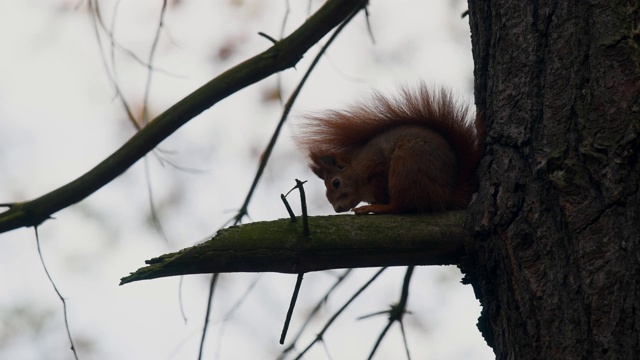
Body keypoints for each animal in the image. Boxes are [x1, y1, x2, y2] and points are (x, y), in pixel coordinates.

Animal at [298, 84, 482, 214]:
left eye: (336, 183)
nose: (337, 209)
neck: (357, 166)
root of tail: (447, 194)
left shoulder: (377, 167)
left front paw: (376, 203)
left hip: (408, 166)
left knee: (403, 205)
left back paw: (377, 208)